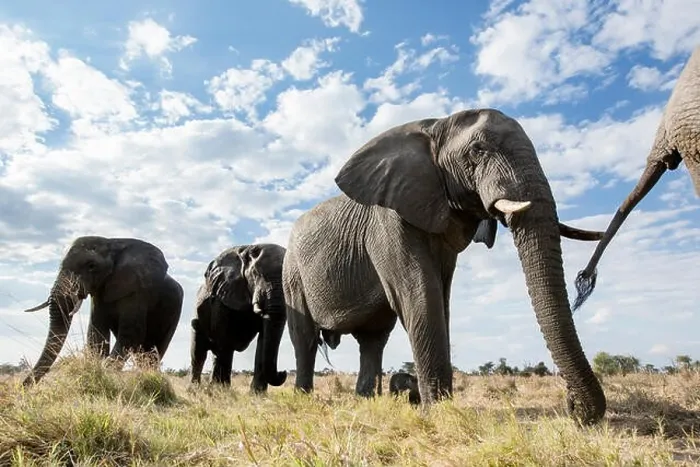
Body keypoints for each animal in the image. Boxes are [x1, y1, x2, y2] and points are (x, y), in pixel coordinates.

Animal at [22, 236, 184, 386]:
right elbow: (96, 334)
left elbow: (130, 335)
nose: (22, 388)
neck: (112, 243)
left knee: (154, 352)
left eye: (91, 266)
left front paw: (107, 374)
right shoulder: (99, 292)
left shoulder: (138, 292)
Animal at [190, 244, 287, 393]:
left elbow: (263, 339)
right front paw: (223, 391)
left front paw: (257, 394)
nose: (283, 372)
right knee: (199, 353)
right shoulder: (222, 297)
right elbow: (224, 339)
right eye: (256, 274)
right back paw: (197, 389)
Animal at [282, 108, 609, 425]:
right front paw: (437, 411)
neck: (434, 127)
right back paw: (303, 398)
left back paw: (365, 402)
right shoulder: (389, 221)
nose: (574, 407)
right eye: (477, 150)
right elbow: (420, 294)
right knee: (305, 339)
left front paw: (438, 406)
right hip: (292, 274)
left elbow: (442, 296)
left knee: (373, 340)